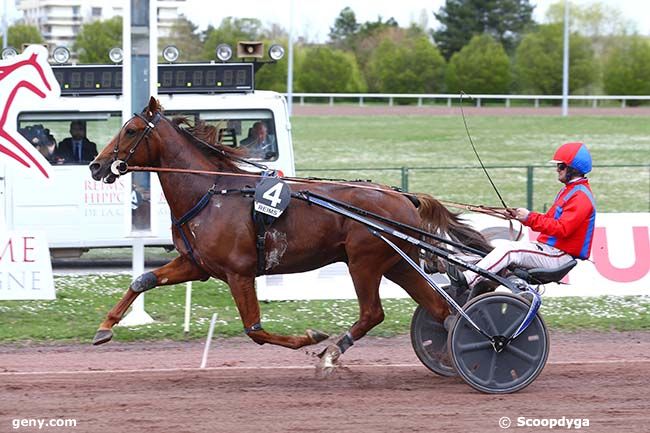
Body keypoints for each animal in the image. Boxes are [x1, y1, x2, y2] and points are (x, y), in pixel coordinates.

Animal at [88, 97, 488, 364]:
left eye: (131, 130)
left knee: (373, 313)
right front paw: (105, 327)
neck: (211, 192)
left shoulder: (239, 272)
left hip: (365, 262)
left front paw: (312, 336)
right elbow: (142, 280)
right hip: (398, 263)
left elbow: (255, 331)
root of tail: (403, 195)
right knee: (439, 308)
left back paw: (333, 351)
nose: (96, 165)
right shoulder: (197, 265)